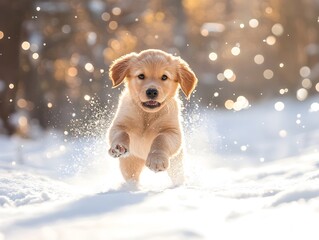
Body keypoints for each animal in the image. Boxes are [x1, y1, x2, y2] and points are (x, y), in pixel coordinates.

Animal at [107, 48, 198, 184]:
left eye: (164, 77)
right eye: (141, 76)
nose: (151, 92)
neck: (147, 115)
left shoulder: (172, 132)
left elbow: (161, 139)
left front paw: (157, 160)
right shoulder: (118, 125)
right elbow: (121, 133)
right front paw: (119, 147)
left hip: (177, 164)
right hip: (130, 164)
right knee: (132, 177)